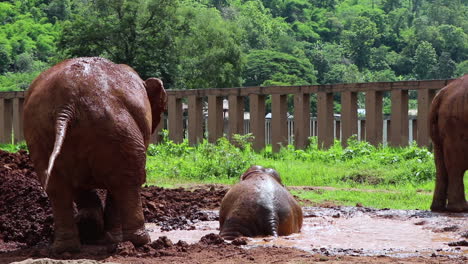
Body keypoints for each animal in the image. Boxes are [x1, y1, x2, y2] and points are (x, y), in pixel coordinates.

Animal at [22, 57, 168, 252]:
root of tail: (66, 106)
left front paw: (91, 229)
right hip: (116, 127)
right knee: (127, 180)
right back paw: (138, 242)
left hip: (39, 132)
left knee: (56, 187)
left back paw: (66, 248)